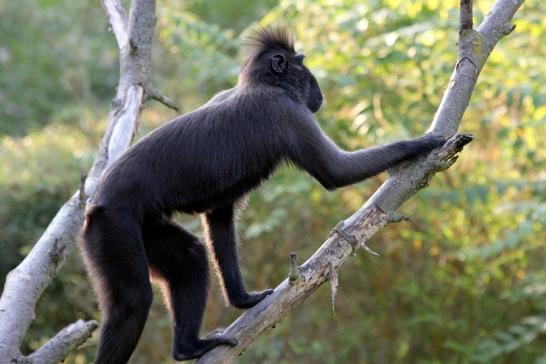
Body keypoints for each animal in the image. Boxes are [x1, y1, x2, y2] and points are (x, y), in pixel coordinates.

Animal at [79, 27, 446, 362]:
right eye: (302, 64)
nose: (318, 92)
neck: (263, 85)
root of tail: (95, 203)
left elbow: (219, 215)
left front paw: (243, 300)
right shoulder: (288, 113)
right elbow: (335, 172)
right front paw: (421, 143)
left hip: (142, 225)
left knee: (190, 257)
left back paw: (187, 348)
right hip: (114, 228)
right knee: (134, 302)